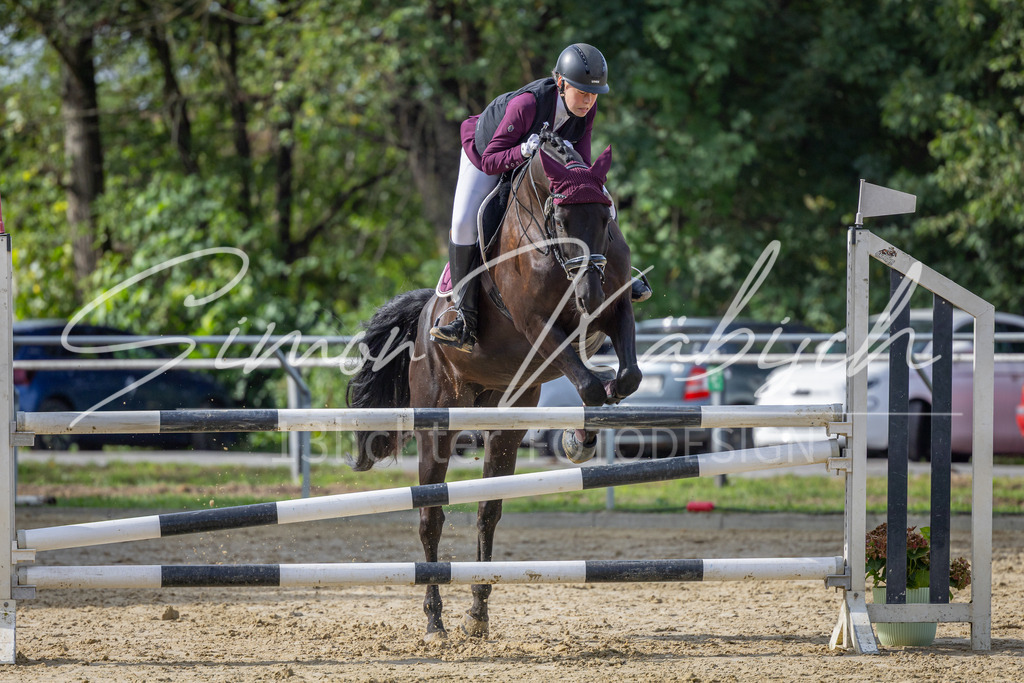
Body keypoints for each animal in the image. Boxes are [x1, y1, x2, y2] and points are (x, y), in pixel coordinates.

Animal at [346, 131, 642, 641]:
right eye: (561, 219)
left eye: (607, 219)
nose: (588, 297)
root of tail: (424, 318)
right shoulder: (537, 326)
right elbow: (589, 385)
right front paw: (577, 441)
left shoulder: (615, 309)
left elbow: (624, 378)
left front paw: (580, 437)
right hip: (437, 422)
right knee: (431, 516)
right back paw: (435, 621)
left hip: (505, 421)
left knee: (488, 511)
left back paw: (478, 613)